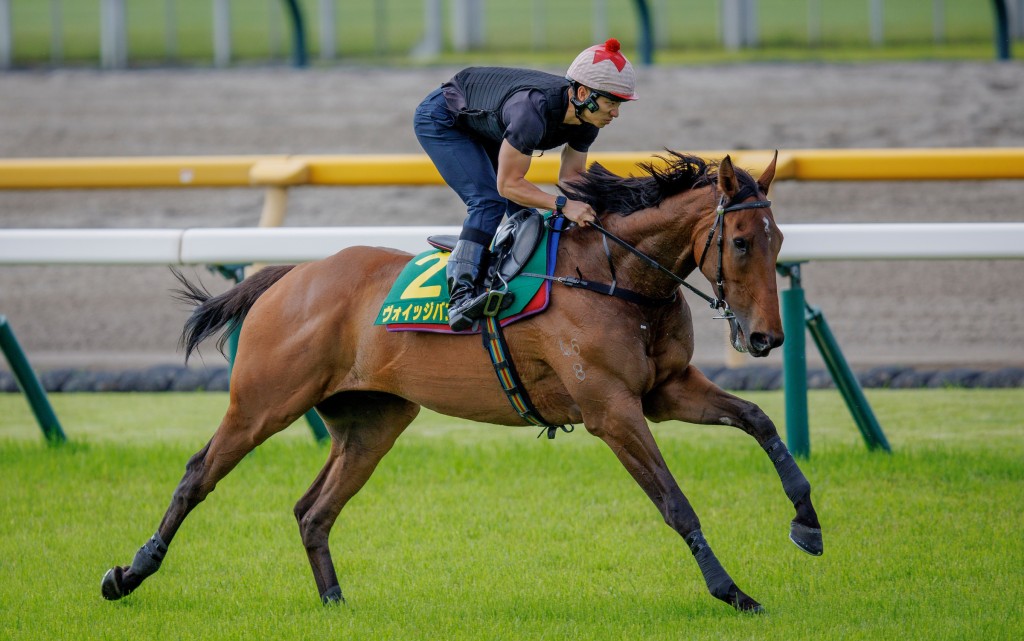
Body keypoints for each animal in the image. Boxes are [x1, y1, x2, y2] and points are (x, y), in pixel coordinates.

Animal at [101, 151, 822, 613]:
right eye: (739, 242)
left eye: (780, 239)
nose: (766, 337)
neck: (614, 275)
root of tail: (292, 275)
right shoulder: (611, 408)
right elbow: (675, 502)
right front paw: (732, 590)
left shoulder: (664, 389)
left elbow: (759, 420)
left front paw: (807, 523)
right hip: (262, 402)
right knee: (198, 475)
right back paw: (129, 573)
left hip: (372, 422)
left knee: (314, 508)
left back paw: (334, 601)